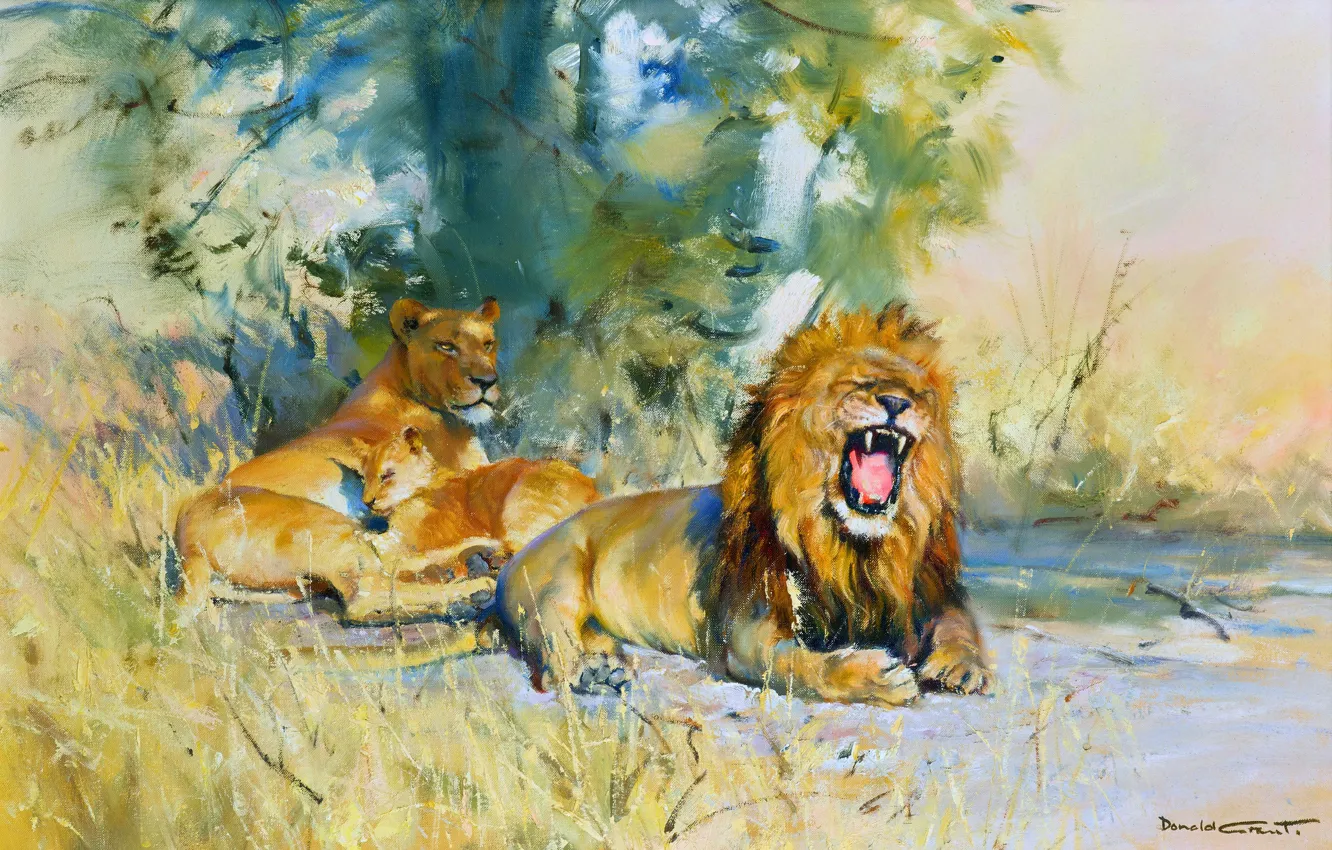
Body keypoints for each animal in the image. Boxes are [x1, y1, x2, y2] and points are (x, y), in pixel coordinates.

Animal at [175, 297, 507, 621]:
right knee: (367, 595)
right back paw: (472, 590)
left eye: (488, 343)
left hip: (292, 583)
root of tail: (187, 549)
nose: (487, 381)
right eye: (446, 346)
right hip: (328, 526)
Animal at [497, 304, 992, 705]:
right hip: (554, 581)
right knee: (554, 646)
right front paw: (875, 676)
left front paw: (964, 664)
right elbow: (800, 666)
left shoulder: (929, 587)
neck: (849, 548)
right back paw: (589, 673)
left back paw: (605, 661)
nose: (895, 401)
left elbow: (958, 620)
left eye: (918, 394)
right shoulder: (747, 637)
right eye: (858, 384)